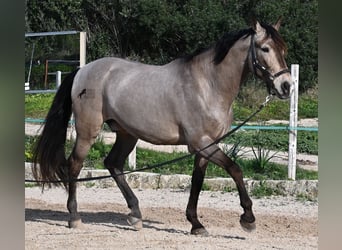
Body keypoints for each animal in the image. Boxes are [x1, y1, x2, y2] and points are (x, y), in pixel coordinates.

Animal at [32, 18, 292, 235]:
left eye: (283, 49)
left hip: (127, 134)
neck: (208, 84)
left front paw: (196, 224)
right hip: (88, 132)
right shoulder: (201, 143)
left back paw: (135, 215)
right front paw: (248, 218)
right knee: (74, 166)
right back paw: (74, 217)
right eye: (265, 49)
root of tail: (82, 70)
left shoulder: (204, 147)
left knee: (113, 164)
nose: (286, 86)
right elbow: (235, 169)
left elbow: (197, 182)